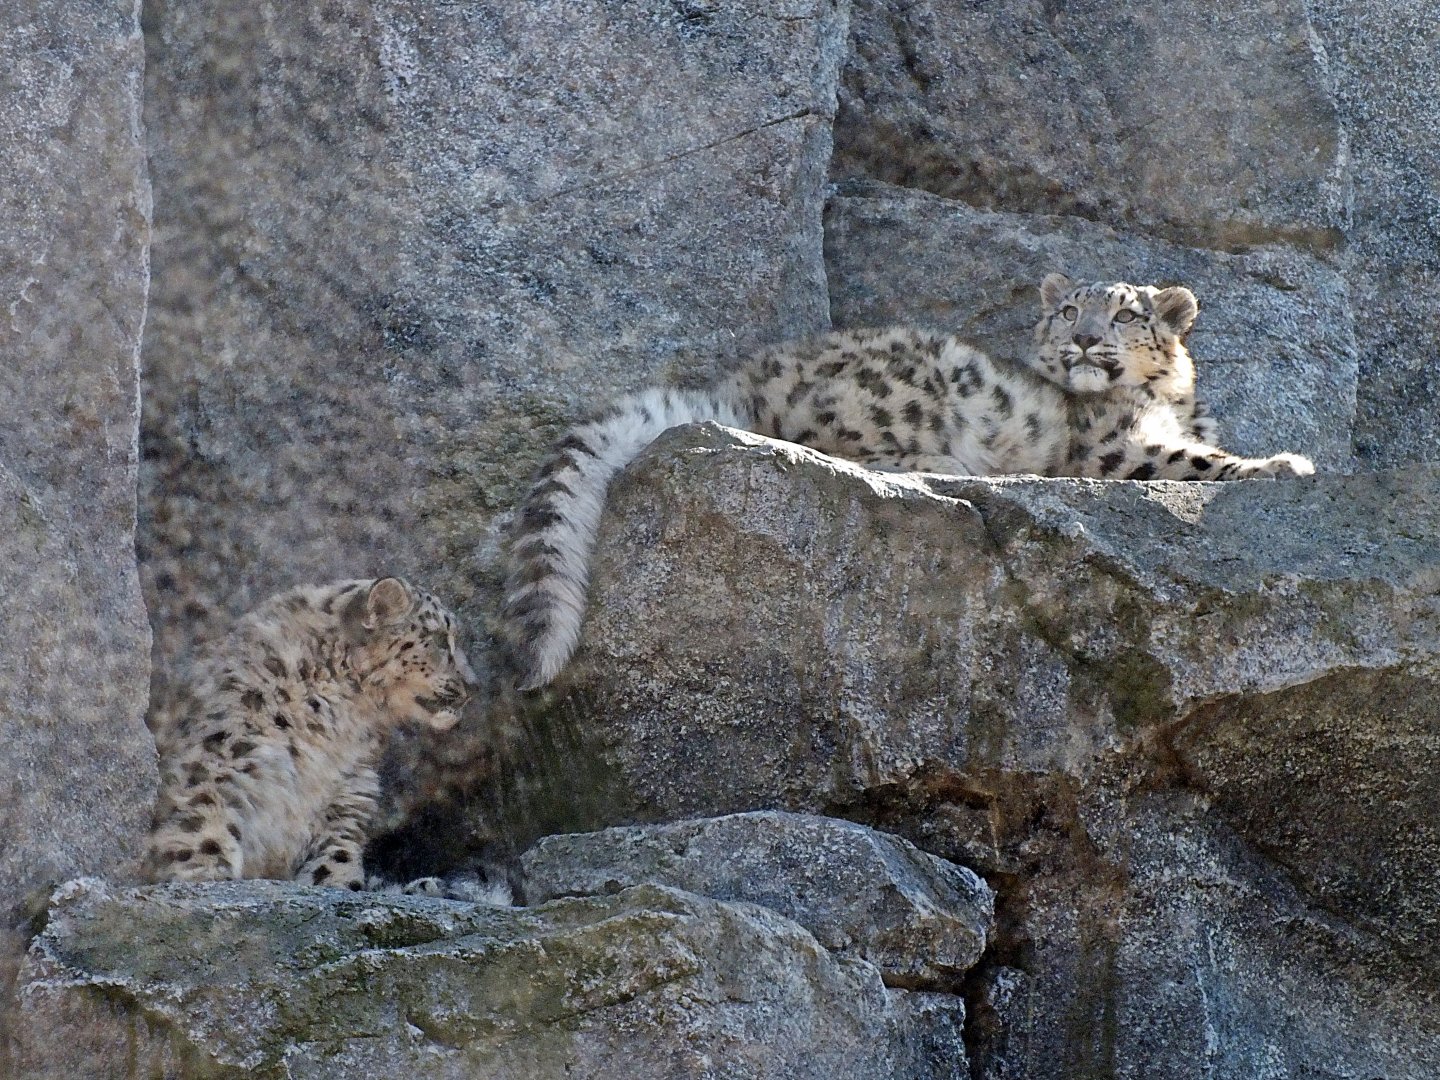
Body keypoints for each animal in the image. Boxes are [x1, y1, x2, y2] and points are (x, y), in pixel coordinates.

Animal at [144, 577, 497, 895]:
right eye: (439, 640)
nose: (475, 685)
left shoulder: (348, 788)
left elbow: (336, 849)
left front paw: (336, 883)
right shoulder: (221, 754)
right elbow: (203, 814)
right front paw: (205, 874)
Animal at [502, 273, 1314, 690]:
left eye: (1125, 315)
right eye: (1066, 310)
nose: (1083, 339)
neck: (1168, 402)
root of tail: (742, 381)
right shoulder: (1114, 451)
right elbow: (1194, 463)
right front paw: (1286, 463)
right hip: (895, 393)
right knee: (837, 445)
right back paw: (949, 464)